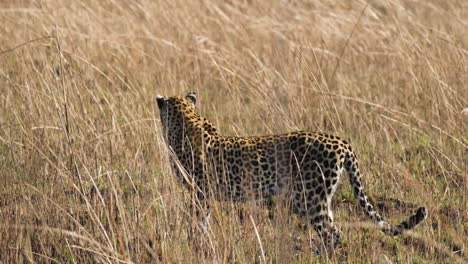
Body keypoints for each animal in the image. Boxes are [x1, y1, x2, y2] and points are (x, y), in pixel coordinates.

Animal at [156, 92, 428, 253]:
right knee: (333, 228)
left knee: (332, 232)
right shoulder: (204, 194)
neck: (186, 119)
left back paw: (318, 255)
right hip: (321, 196)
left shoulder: (199, 192)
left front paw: (194, 242)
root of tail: (342, 141)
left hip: (308, 198)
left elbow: (197, 220)